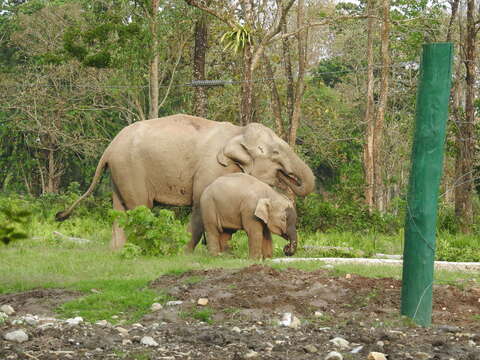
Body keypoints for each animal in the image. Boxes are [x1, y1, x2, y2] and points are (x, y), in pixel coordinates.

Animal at [56, 115, 316, 250]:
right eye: (275, 153)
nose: (287, 248)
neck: (237, 131)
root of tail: (109, 148)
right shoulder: (211, 167)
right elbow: (200, 204)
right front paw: (184, 253)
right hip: (131, 168)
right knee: (140, 208)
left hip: (120, 173)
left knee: (119, 211)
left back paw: (117, 251)